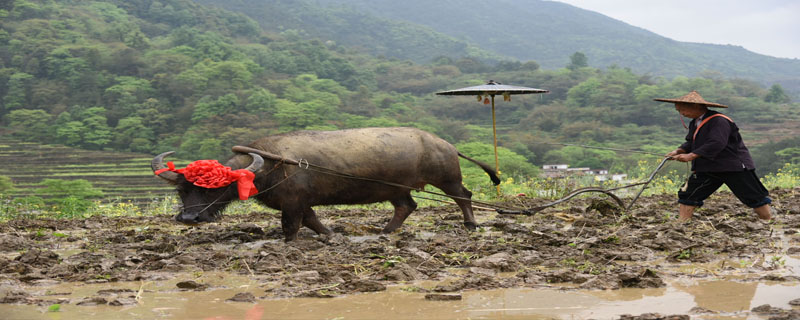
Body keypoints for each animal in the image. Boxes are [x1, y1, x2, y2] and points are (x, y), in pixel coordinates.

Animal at [151, 127, 496, 240]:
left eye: (215, 186)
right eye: (183, 189)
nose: (189, 218)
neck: (271, 165)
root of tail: (444, 143)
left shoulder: (292, 204)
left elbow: (292, 227)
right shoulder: (302, 203)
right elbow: (313, 221)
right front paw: (331, 235)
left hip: (447, 178)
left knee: (464, 196)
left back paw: (470, 224)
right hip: (395, 189)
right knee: (406, 206)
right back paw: (385, 231)